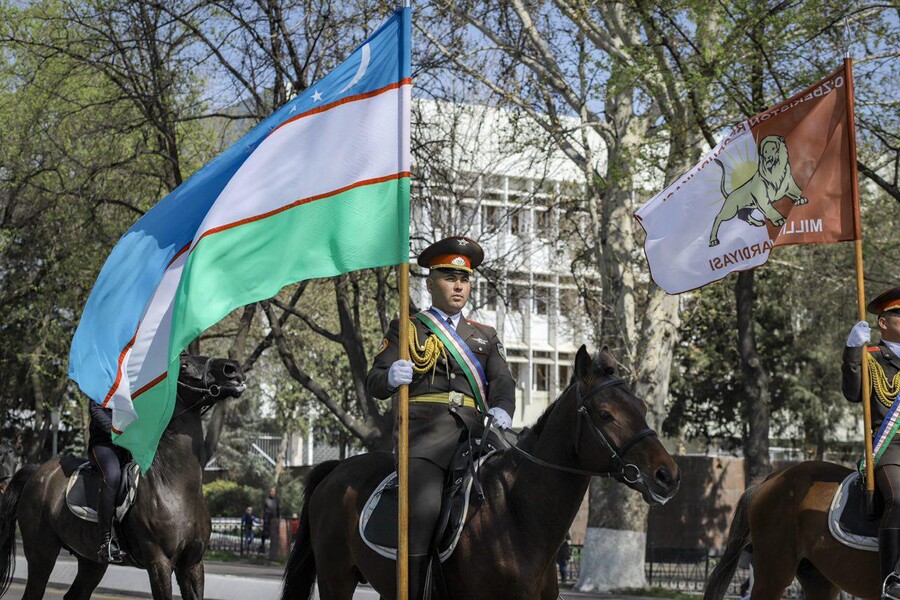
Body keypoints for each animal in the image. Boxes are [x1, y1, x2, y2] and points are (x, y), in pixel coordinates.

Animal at [0, 354, 246, 596]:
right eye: (184, 365)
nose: (232, 368)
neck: (177, 487)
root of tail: (39, 471)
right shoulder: (159, 564)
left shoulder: (192, 565)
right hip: (42, 553)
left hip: (91, 561)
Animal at [282, 346, 684, 600]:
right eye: (605, 414)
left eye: (642, 406)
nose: (668, 475)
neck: (517, 516)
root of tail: (338, 469)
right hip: (336, 579)